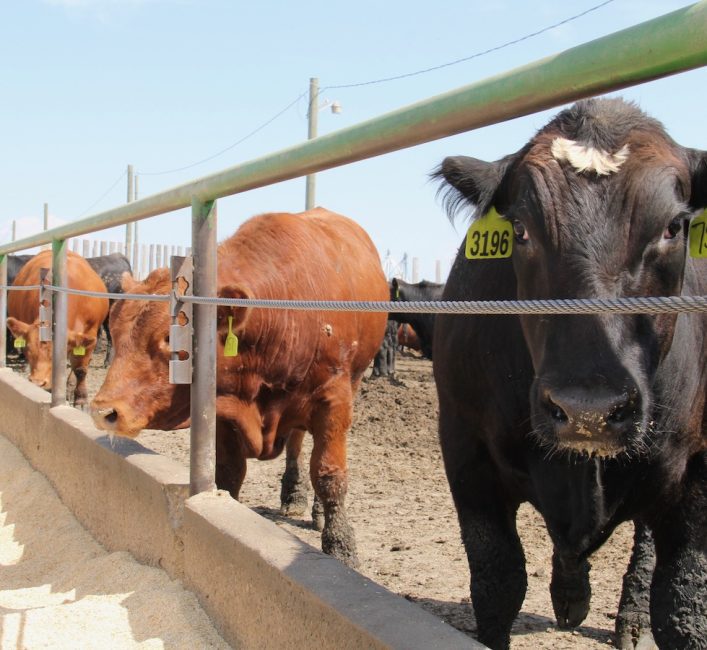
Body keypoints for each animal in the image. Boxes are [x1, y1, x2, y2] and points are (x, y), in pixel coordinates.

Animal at [7, 250, 109, 408]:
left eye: (56, 355)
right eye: (27, 350)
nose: (37, 382)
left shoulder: (90, 335)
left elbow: (80, 369)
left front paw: (81, 399)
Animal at [90, 208, 389, 567]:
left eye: (169, 339)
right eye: (116, 331)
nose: (103, 411)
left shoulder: (334, 399)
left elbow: (329, 473)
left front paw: (341, 545)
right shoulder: (223, 408)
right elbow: (230, 471)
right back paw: (293, 493)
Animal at [432, 98, 706, 650]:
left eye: (674, 227)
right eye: (520, 229)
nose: (588, 409)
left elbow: (681, 606)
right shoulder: (464, 446)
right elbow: (498, 581)